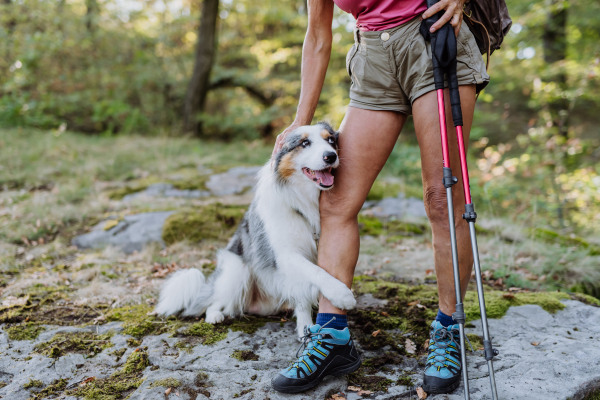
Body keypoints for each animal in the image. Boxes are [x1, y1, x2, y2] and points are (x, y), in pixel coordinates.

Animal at [155, 122, 358, 338]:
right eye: (304, 143)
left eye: (331, 140)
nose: (331, 156)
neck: (304, 199)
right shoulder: (286, 255)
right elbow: (316, 273)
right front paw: (341, 295)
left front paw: (307, 329)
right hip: (237, 273)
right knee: (215, 301)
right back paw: (214, 316)